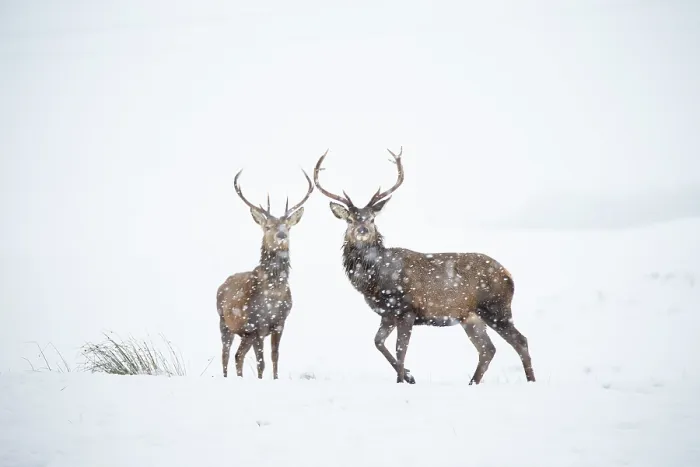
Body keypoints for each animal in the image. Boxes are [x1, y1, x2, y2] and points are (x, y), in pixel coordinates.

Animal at [216, 168, 313, 379]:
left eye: (288, 226)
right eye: (268, 226)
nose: (281, 235)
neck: (273, 294)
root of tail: (222, 285)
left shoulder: (279, 323)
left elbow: (275, 357)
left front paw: (275, 379)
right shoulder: (257, 325)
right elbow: (261, 363)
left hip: (244, 333)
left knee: (238, 355)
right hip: (224, 322)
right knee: (226, 354)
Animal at [313, 148, 536, 385]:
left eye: (372, 219)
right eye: (350, 220)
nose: (362, 230)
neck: (376, 280)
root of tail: (509, 275)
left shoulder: (407, 309)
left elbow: (401, 350)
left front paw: (402, 380)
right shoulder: (387, 314)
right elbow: (378, 342)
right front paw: (410, 376)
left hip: (496, 307)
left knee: (520, 341)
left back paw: (530, 380)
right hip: (471, 317)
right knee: (488, 349)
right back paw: (472, 383)